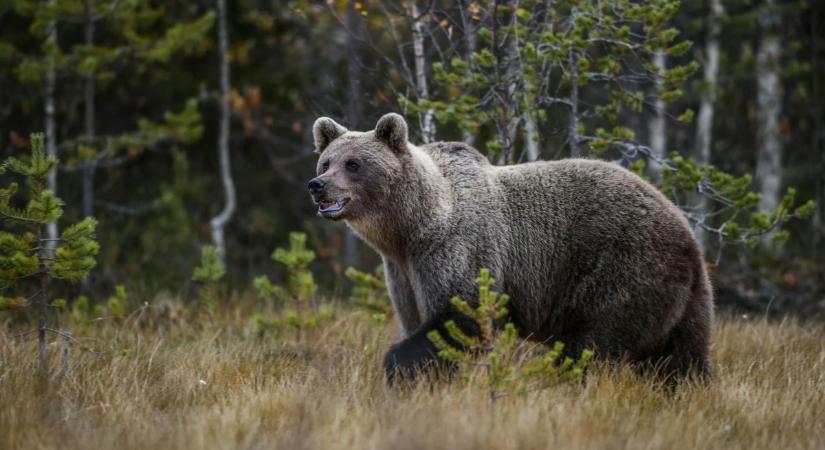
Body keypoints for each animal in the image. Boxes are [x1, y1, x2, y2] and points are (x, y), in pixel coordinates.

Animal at [306, 112, 712, 384]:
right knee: (681, 358)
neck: (411, 228)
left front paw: (398, 368)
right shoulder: (403, 272)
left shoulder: (457, 249)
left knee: (592, 345)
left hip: (621, 269)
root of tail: (686, 231)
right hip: (683, 299)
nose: (317, 184)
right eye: (326, 161)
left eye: (353, 164)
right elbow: (417, 320)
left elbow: (461, 317)